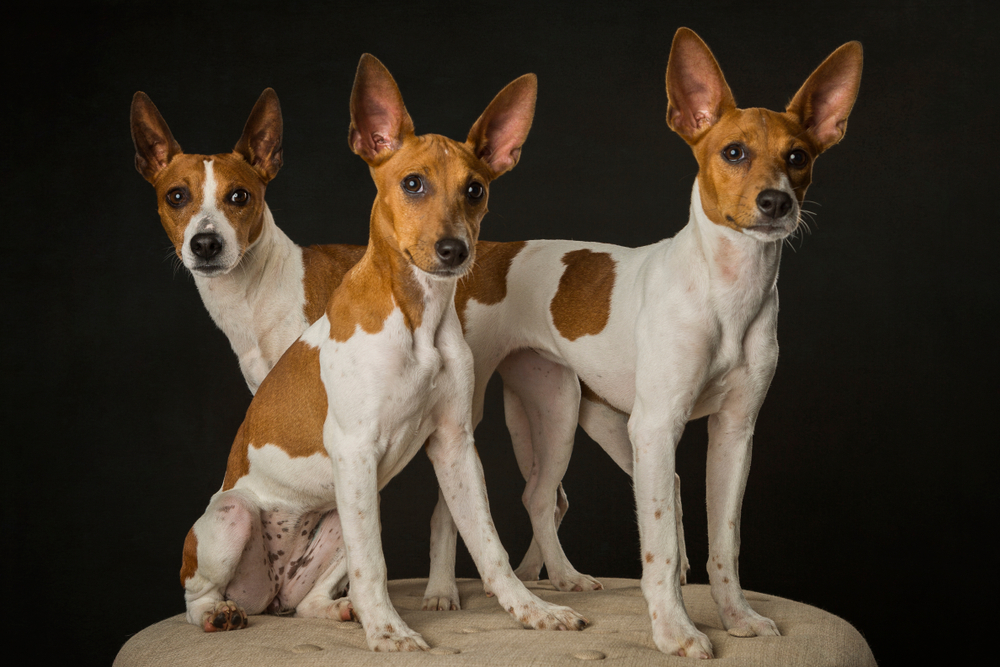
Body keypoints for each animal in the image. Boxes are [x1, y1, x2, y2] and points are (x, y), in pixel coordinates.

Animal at [163, 57, 588, 652]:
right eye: (412, 183)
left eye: (475, 189)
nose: (454, 251)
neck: (416, 317)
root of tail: (269, 591)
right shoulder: (355, 450)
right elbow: (376, 566)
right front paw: (388, 631)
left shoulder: (455, 449)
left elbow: (489, 547)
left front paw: (532, 611)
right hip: (235, 515)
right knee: (196, 593)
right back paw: (220, 614)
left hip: (344, 515)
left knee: (307, 602)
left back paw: (336, 609)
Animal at [434, 28, 864, 660]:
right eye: (733, 152)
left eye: (799, 157)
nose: (776, 203)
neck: (726, 291)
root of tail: (490, 251)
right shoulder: (659, 427)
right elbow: (659, 543)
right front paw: (674, 630)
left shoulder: (732, 434)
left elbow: (723, 542)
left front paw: (736, 617)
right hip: (483, 414)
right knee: (458, 502)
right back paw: (442, 591)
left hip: (575, 412)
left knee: (542, 496)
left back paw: (561, 577)